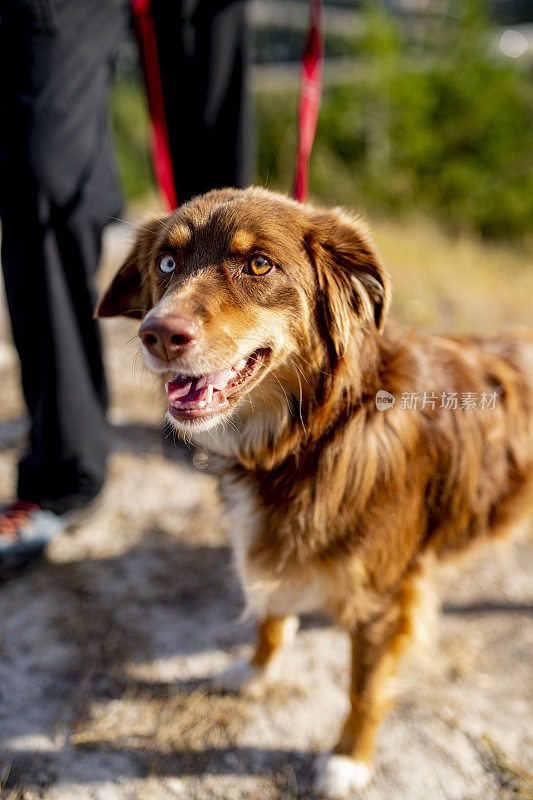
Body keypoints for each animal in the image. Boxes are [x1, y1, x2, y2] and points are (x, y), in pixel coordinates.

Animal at [96, 189, 532, 800]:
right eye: (166, 262)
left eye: (258, 264)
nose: (156, 334)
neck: (316, 435)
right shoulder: (274, 543)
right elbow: (272, 615)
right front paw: (256, 671)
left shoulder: (383, 599)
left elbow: (364, 690)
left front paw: (349, 759)